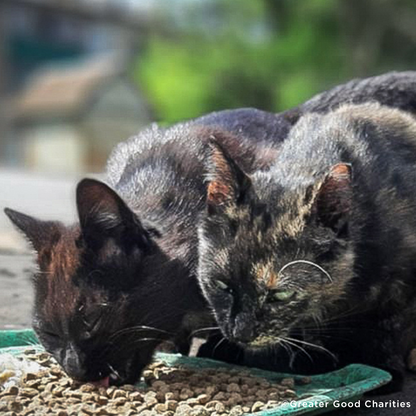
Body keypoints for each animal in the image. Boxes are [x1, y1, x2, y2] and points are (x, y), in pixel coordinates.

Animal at [197, 101, 416, 390]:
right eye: (221, 285)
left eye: (280, 295)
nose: (241, 333)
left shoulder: (402, 285)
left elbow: (389, 328)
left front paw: (385, 370)